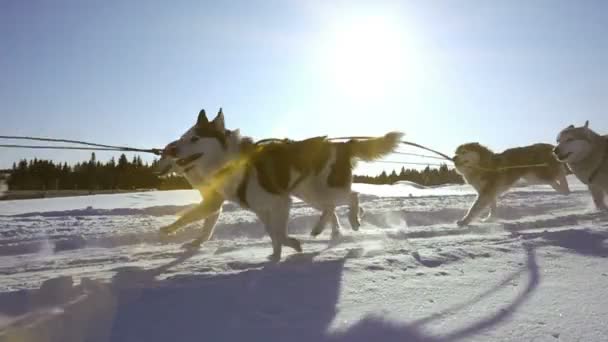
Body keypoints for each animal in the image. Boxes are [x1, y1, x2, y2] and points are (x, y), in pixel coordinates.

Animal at [158, 108, 404, 260]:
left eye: (195, 139)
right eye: (183, 137)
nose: (171, 150)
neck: (233, 163)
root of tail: (341, 144)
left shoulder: (280, 202)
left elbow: (278, 233)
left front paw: (287, 247)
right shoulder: (262, 208)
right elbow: (273, 233)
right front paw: (278, 254)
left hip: (322, 189)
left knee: (352, 197)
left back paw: (353, 220)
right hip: (309, 192)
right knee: (331, 207)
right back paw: (323, 228)